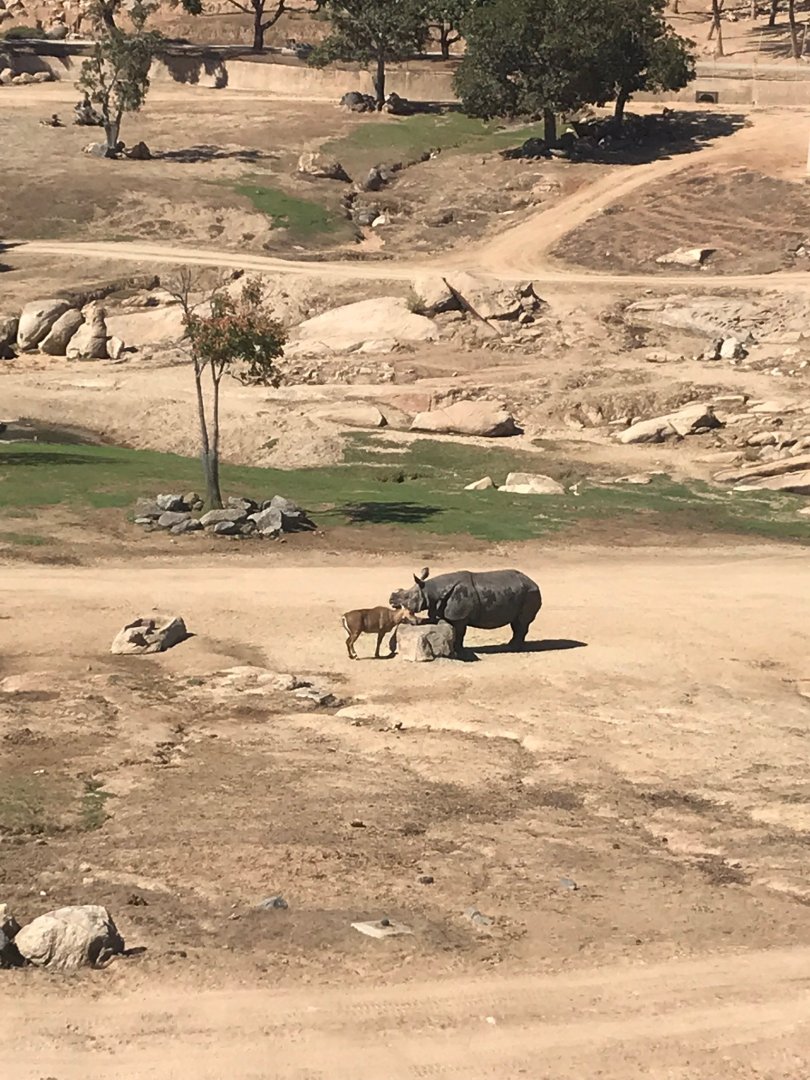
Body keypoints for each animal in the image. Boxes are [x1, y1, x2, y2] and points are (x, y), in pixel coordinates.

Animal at [389, 567, 541, 657]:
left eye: (407, 597)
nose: (391, 600)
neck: (430, 591)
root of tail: (533, 582)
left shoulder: (459, 617)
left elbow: (460, 633)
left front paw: (459, 651)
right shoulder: (437, 609)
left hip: (530, 593)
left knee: (521, 623)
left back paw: (513, 649)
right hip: (522, 593)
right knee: (516, 623)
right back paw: (510, 646)